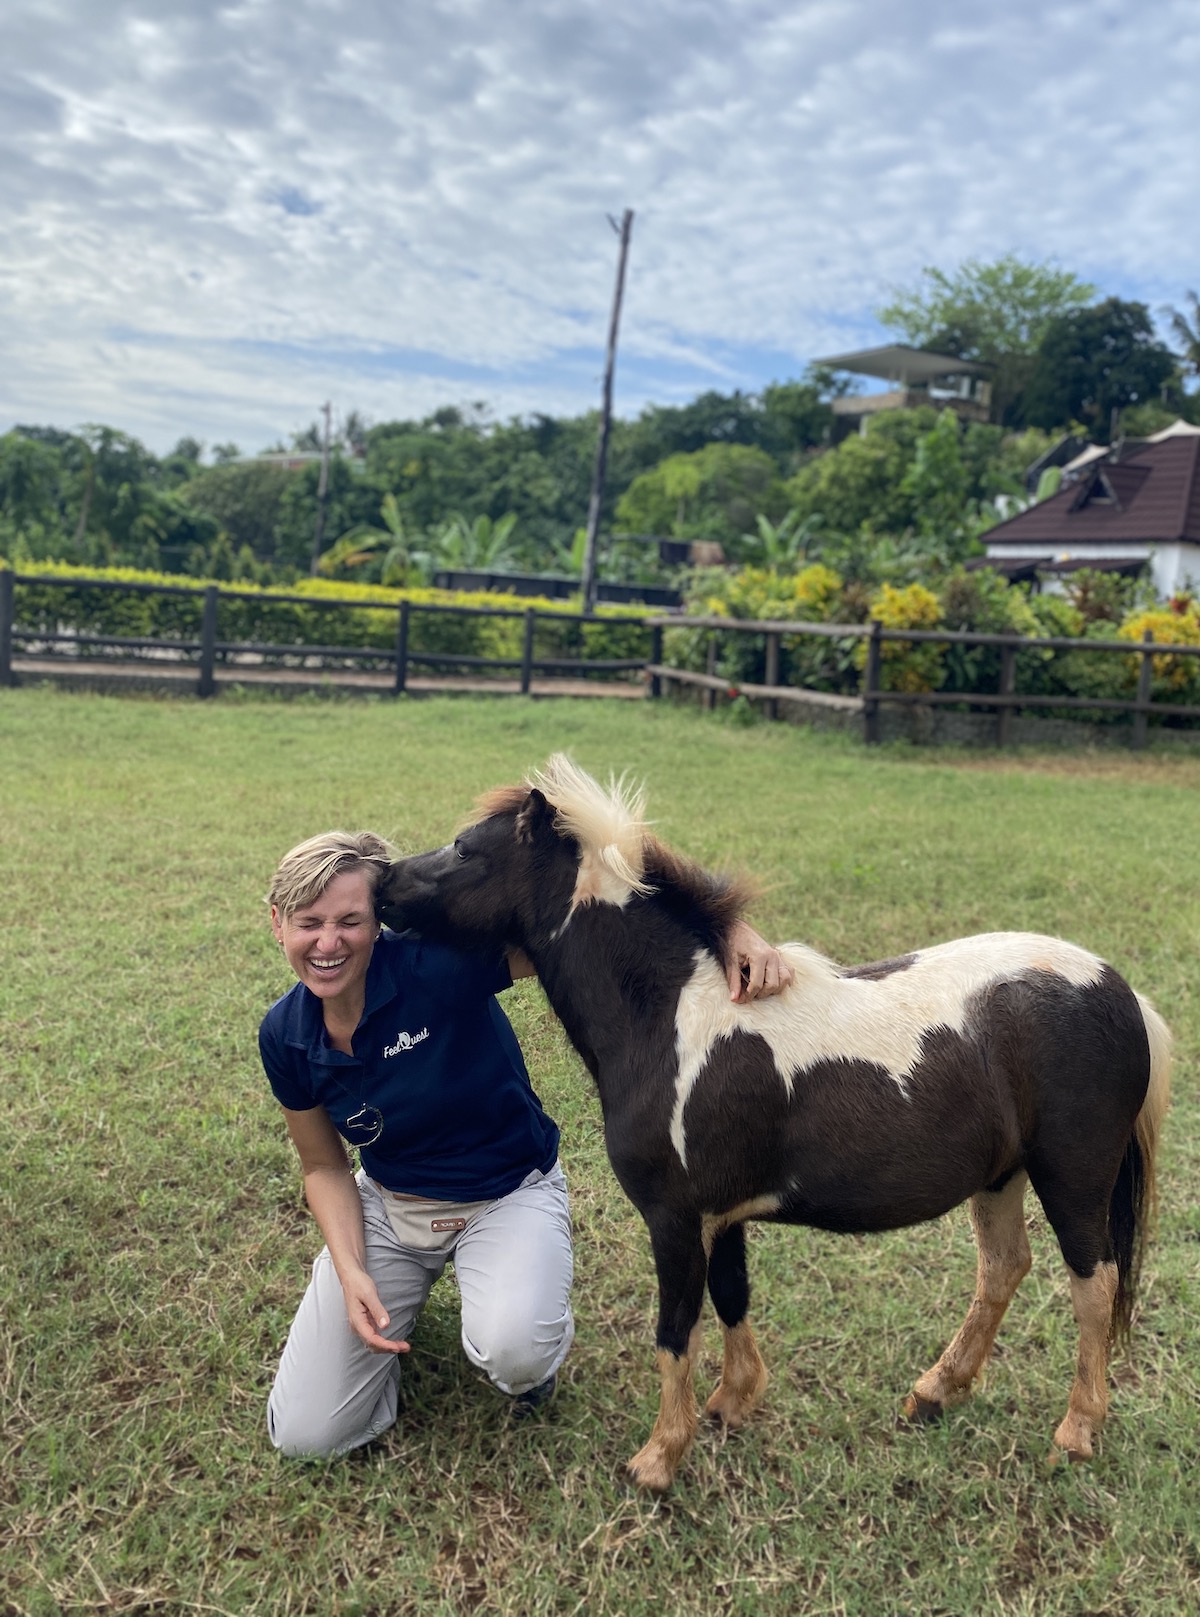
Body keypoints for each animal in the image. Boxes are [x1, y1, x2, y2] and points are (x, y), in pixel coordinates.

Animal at [377, 755, 1171, 1493]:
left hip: (1072, 1177)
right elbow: (732, 1296)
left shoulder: (674, 1217)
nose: (382, 881)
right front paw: (731, 1404)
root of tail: (1118, 990)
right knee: (1004, 1268)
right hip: (1001, 1175)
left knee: (1093, 1284)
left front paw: (658, 1459)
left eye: (464, 849)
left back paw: (1075, 1431)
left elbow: (675, 1330)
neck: (671, 1015)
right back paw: (934, 1393)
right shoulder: (721, 1214)